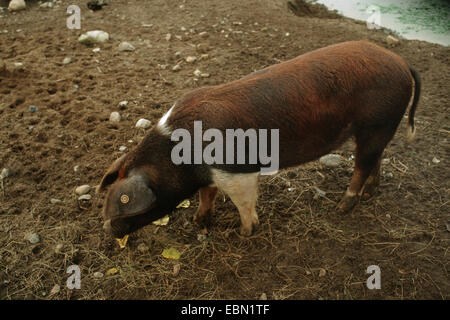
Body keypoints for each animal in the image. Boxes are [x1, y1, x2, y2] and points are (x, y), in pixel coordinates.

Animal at [96, 40, 420, 239]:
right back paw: (368, 195)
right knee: (378, 157)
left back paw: (342, 207)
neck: (179, 155)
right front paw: (199, 222)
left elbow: (244, 203)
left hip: (376, 123)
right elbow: (207, 195)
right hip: (380, 127)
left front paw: (244, 233)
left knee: (362, 165)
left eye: (122, 204)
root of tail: (402, 62)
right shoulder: (212, 176)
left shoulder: (237, 172)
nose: (108, 231)